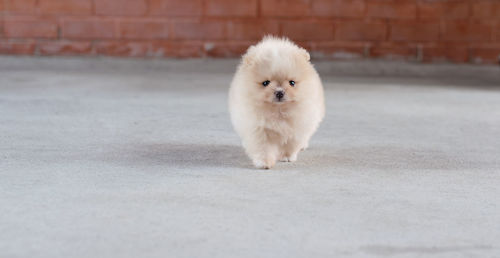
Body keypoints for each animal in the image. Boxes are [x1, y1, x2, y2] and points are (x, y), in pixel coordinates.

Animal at [229, 36, 326, 169]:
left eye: (292, 83)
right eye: (265, 83)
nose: (279, 92)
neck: (278, 111)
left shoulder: (298, 126)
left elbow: (290, 144)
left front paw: (286, 156)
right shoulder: (258, 128)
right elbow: (263, 147)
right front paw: (264, 162)